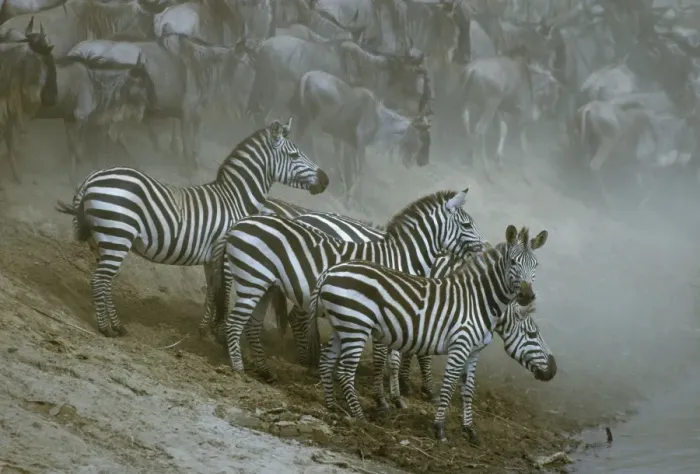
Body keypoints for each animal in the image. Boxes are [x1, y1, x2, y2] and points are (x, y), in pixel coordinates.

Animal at [55, 118, 329, 338]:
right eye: (294, 156)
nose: (326, 180)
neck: (235, 198)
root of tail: (93, 177)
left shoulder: (212, 257)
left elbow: (211, 291)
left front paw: (204, 330)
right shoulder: (225, 254)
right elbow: (224, 292)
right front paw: (219, 332)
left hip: (102, 241)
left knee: (105, 283)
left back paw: (117, 325)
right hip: (117, 237)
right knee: (99, 282)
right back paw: (106, 329)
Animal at [211, 189, 488, 382]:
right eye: (466, 224)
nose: (484, 249)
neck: (400, 256)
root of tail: (239, 223)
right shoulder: (388, 310)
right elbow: (387, 356)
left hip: (266, 285)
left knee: (253, 326)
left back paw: (266, 371)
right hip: (252, 280)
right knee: (236, 323)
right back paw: (238, 368)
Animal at [308, 225, 555, 443]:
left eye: (536, 264)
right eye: (532, 334)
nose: (527, 296)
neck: (479, 301)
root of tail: (330, 271)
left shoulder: (473, 352)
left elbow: (468, 391)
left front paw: (470, 431)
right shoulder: (459, 346)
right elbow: (448, 388)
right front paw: (440, 429)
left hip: (342, 326)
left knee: (327, 360)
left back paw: (331, 405)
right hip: (356, 326)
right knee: (345, 370)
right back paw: (360, 417)